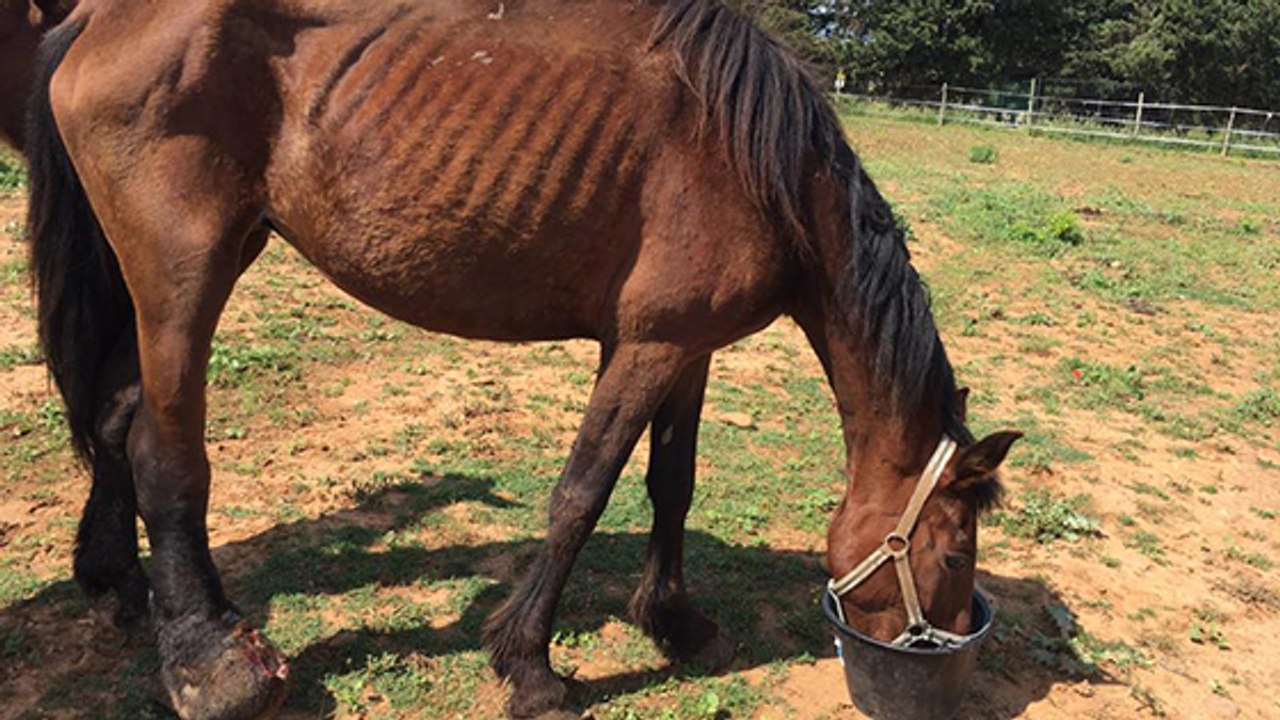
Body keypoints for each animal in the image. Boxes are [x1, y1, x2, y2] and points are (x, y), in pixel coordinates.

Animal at [26, 0, 1020, 717]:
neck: (759, 163)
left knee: (115, 419)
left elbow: (672, 484)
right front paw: (531, 668)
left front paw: (676, 623)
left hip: (201, 265)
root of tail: (97, 20)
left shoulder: (685, 350)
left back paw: (118, 589)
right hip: (182, 275)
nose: (947, 645)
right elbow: (581, 495)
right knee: (164, 452)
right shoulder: (645, 348)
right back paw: (211, 664)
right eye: (955, 553)